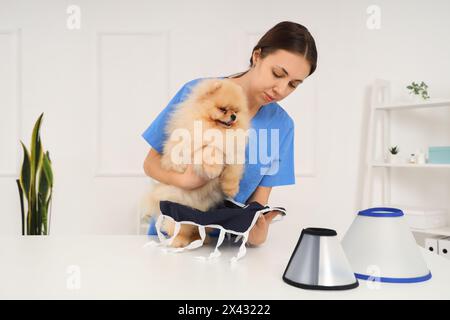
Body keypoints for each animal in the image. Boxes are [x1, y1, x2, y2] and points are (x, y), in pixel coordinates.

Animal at [142, 79, 250, 249]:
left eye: (236, 111)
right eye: (223, 109)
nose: (233, 116)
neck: (219, 131)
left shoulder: (234, 154)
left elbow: (233, 172)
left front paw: (231, 189)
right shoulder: (197, 147)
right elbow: (211, 152)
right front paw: (213, 170)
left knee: (196, 229)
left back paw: (202, 239)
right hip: (177, 212)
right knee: (177, 229)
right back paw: (178, 241)